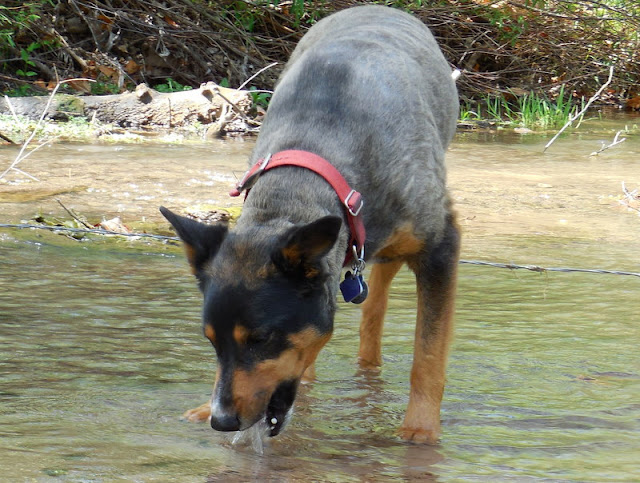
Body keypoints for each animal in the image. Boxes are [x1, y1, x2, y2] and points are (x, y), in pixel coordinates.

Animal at [160, 5, 459, 444]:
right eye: (211, 342)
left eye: (261, 339)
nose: (222, 421)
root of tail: (378, 7)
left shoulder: (441, 246)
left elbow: (429, 355)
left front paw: (420, 430)